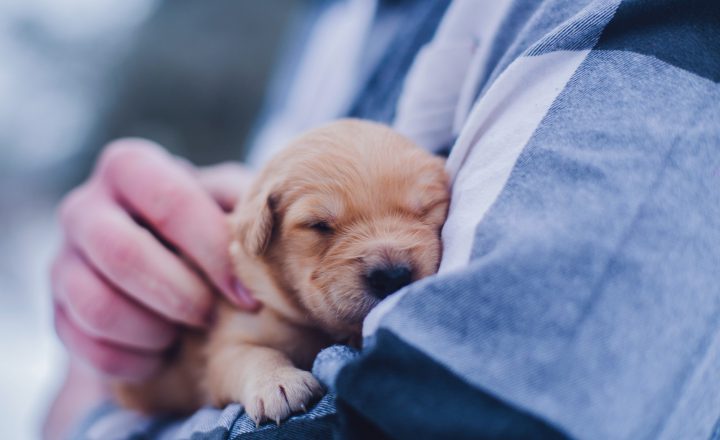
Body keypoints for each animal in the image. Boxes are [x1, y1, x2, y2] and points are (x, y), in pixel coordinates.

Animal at [114, 118, 448, 424]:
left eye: (426, 209)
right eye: (319, 225)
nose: (391, 277)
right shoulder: (227, 341)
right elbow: (252, 354)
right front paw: (278, 383)